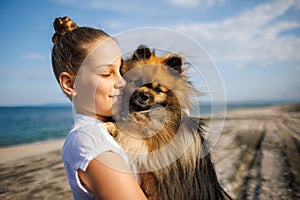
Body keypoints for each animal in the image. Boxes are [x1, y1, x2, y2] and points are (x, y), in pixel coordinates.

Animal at [105, 45, 232, 200]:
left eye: (158, 90)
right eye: (137, 82)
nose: (144, 95)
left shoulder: (153, 144)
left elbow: (133, 134)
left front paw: (111, 126)